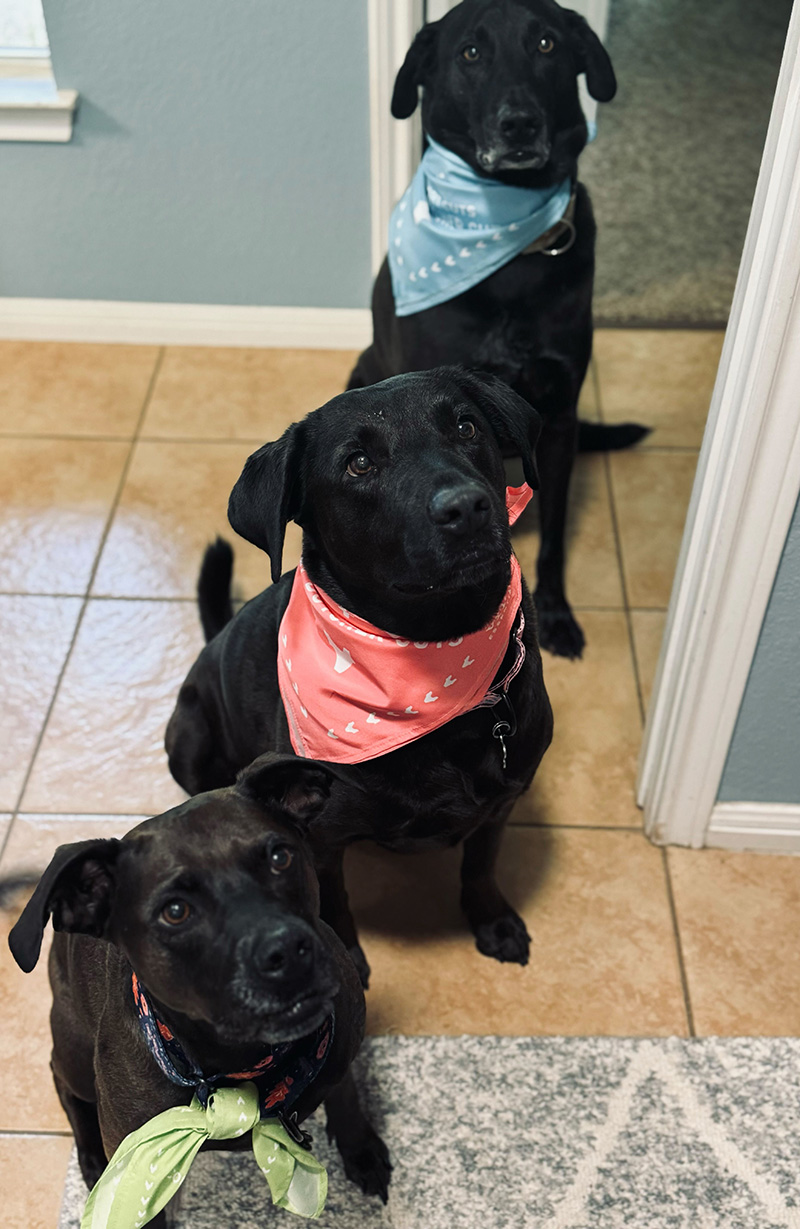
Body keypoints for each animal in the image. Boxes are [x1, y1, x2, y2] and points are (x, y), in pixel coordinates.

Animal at [7, 747, 393, 1219]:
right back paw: (92, 1157)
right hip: (75, 1052)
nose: (286, 951)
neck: (242, 1068)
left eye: (280, 857)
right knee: (60, 1078)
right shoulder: (139, 1158)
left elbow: (346, 1091)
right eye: (175, 911)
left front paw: (360, 1147)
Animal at [167, 366, 557, 988]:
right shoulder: (319, 837)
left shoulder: (503, 801)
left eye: (466, 427)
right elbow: (334, 903)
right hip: (189, 737)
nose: (467, 507)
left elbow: (481, 864)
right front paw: (346, 960)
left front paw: (492, 920)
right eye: (358, 464)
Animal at [351, 0, 648, 663]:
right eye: (470, 52)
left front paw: (556, 615)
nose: (519, 125)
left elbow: (555, 536)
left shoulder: (559, 419)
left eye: (546, 44)